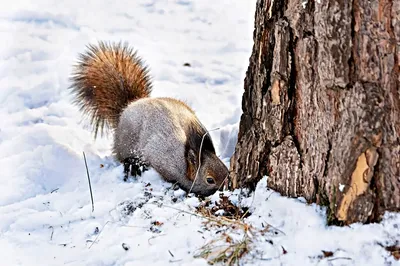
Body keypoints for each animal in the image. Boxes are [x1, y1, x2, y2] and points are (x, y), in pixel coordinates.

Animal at [69, 40, 228, 196]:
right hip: (126, 143)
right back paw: (132, 165)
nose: (225, 187)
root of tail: (128, 106)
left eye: (226, 169)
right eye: (209, 180)